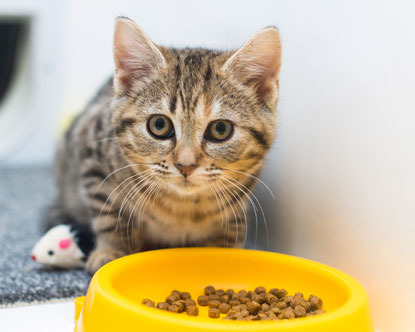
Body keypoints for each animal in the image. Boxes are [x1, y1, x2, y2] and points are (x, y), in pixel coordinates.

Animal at [45, 16, 282, 274]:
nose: (186, 165)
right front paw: (112, 251)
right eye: (159, 125)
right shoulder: (92, 153)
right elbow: (110, 212)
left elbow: (229, 231)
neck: (183, 207)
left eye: (220, 129)